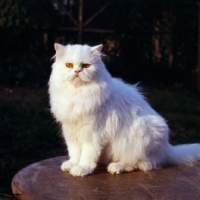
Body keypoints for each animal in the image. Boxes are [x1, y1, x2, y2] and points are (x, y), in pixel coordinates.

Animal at [48, 43, 200, 177]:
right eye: (69, 65)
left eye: (86, 66)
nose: (77, 71)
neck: (76, 94)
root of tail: (166, 149)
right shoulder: (70, 130)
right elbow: (74, 152)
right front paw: (72, 164)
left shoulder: (92, 133)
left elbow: (87, 155)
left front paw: (82, 169)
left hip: (141, 135)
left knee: (142, 164)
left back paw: (116, 167)